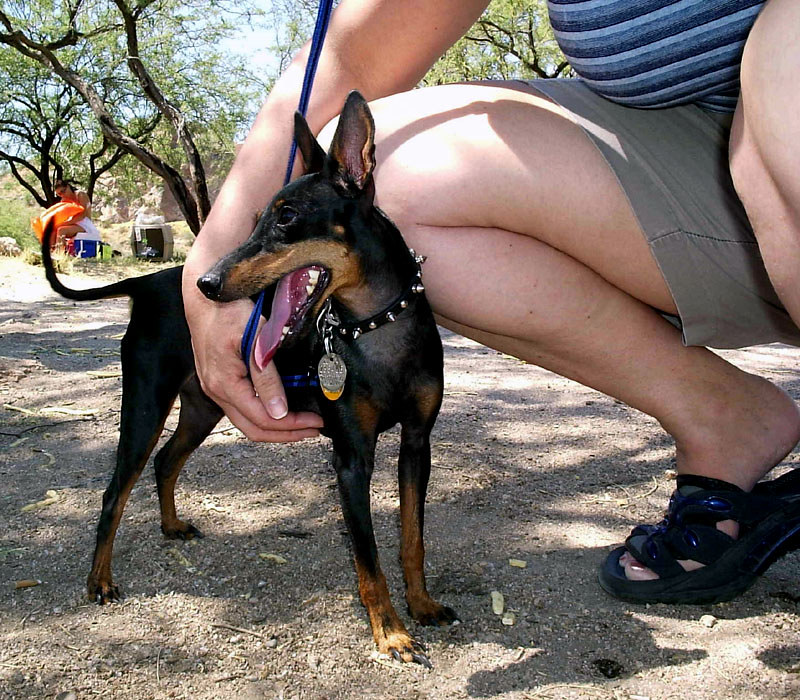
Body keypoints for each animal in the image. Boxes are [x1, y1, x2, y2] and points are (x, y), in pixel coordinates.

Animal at [42, 90, 456, 664]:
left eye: (287, 218)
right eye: (257, 218)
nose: (206, 283)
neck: (373, 326)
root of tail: (146, 282)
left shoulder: (418, 444)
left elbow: (411, 539)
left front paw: (421, 605)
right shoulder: (352, 458)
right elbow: (369, 562)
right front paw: (390, 633)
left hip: (204, 406)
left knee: (166, 461)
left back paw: (171, 526)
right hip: (145, 404)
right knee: (113, 493)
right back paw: (99, 581)